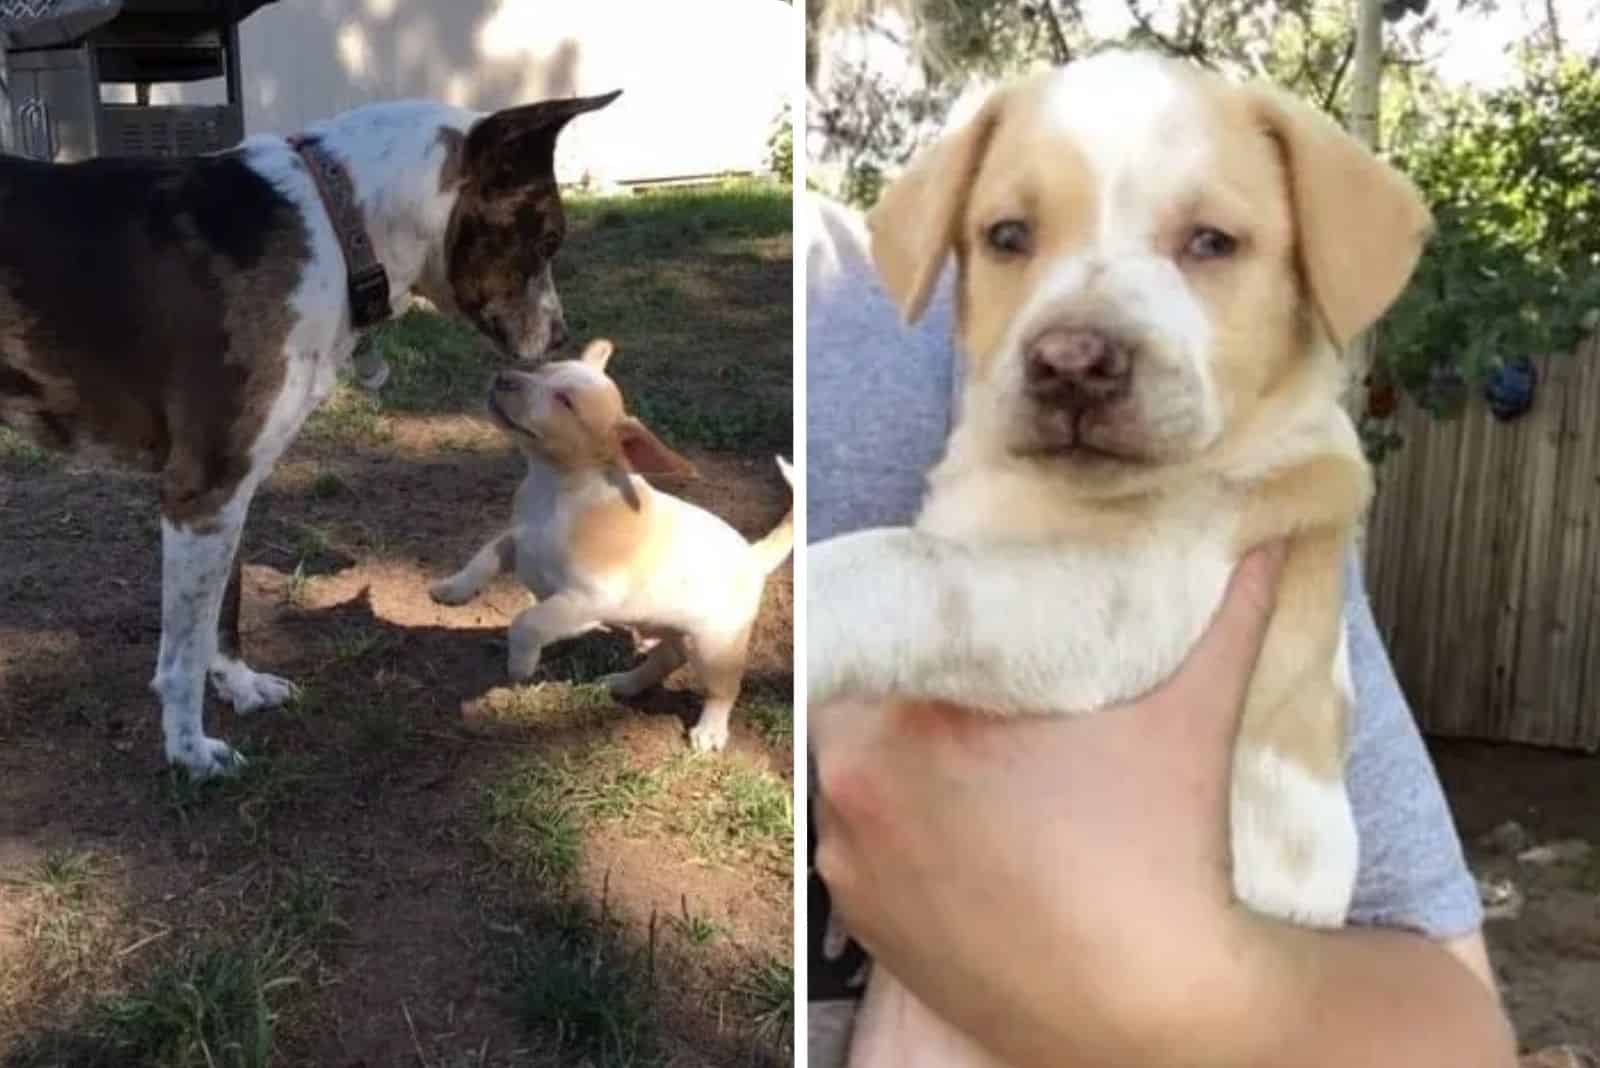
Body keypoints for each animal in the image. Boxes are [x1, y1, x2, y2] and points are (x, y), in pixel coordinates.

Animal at [0, 91, 617, 777]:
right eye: (549, 239)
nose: (561, 335)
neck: (340, 222)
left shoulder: (232, 491)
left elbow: (224, 612)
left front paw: (239, 687)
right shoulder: (203, 492)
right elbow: (183, 653)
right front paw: (189, 751)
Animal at [432, 340, 793, 751]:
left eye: (565, 401)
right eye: (541, 369)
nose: (504, 376)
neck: (555, 490)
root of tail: (753, 555)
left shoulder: (585, 599)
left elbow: (528, 621)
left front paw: (520, 663)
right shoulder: (517, 542)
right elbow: (485, 557)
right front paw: (453, 589)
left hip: (714, 646)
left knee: (723, 690)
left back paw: (710, 731)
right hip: (674, 631)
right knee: (665, 659)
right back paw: (626, 683)